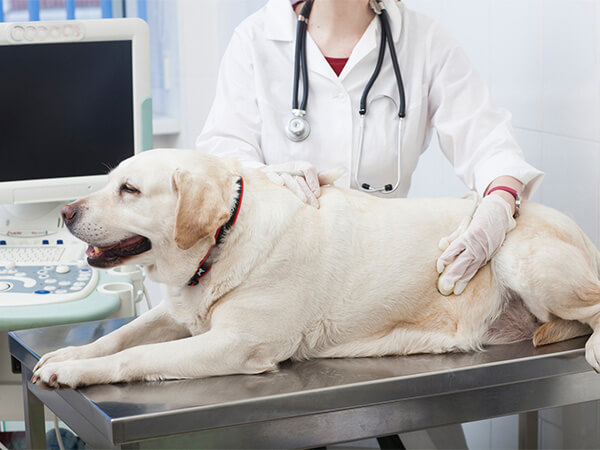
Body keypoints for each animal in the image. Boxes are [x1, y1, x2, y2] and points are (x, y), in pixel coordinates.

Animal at [31, 149, 600, 388]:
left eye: (129, 190)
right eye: (111, 181)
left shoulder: (236, 345)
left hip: (517, 255)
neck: (227, 237)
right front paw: (67, 354)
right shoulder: (178, 312)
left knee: (592, 307)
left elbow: (137, 355)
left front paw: (75, 372)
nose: (65, 212)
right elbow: (120, 336)